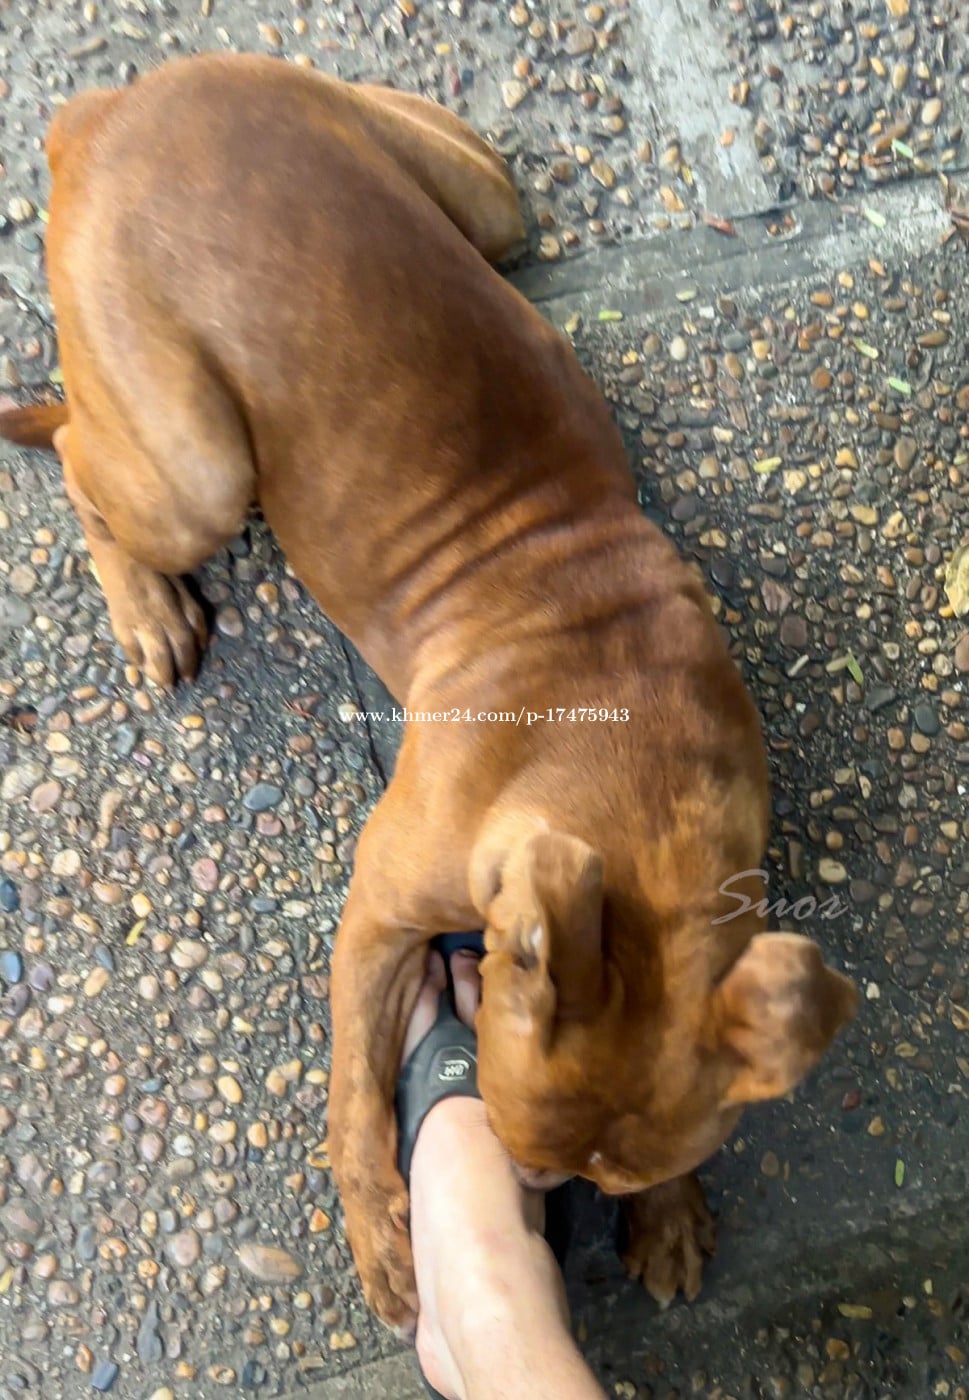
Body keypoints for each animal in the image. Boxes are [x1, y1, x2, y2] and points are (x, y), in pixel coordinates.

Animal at [0, 53, 857, 1332]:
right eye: (506, 1134)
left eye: (611, 1175)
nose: (539, 1210)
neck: (643, 808)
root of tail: (111, 109)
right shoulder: (375, 911)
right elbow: (355, 1091)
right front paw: (388, 1245)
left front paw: (669, 1215)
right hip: (197, 467)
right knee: (83, 466)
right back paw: (144, 601)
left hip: (477, 199)